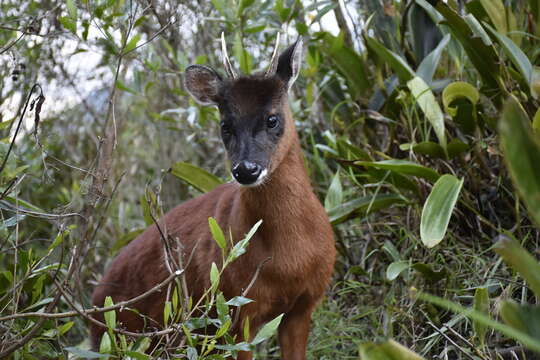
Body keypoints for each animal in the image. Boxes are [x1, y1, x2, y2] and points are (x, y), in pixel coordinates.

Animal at [90, 34, 336, 360]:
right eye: (225, 125)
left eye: (272, 119)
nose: (246, 170)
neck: (289, 261)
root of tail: (94, 303)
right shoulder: (235, 310)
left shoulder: (303, 305)